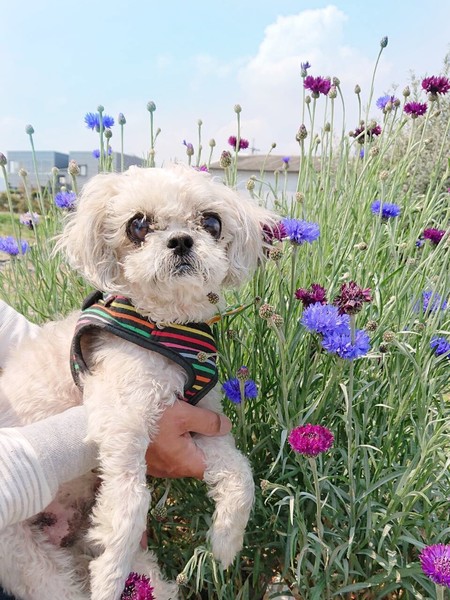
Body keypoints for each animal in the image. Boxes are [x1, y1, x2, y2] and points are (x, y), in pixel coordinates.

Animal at [0, 165, 274, 600]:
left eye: (212, 222)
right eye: (138, 225)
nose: (181, 240)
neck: (166, 324)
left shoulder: (203, 420)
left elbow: (240, 474)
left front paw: (226, 540)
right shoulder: (122, 422)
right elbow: (129, 503)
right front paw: (110, 574)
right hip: (30, 562)